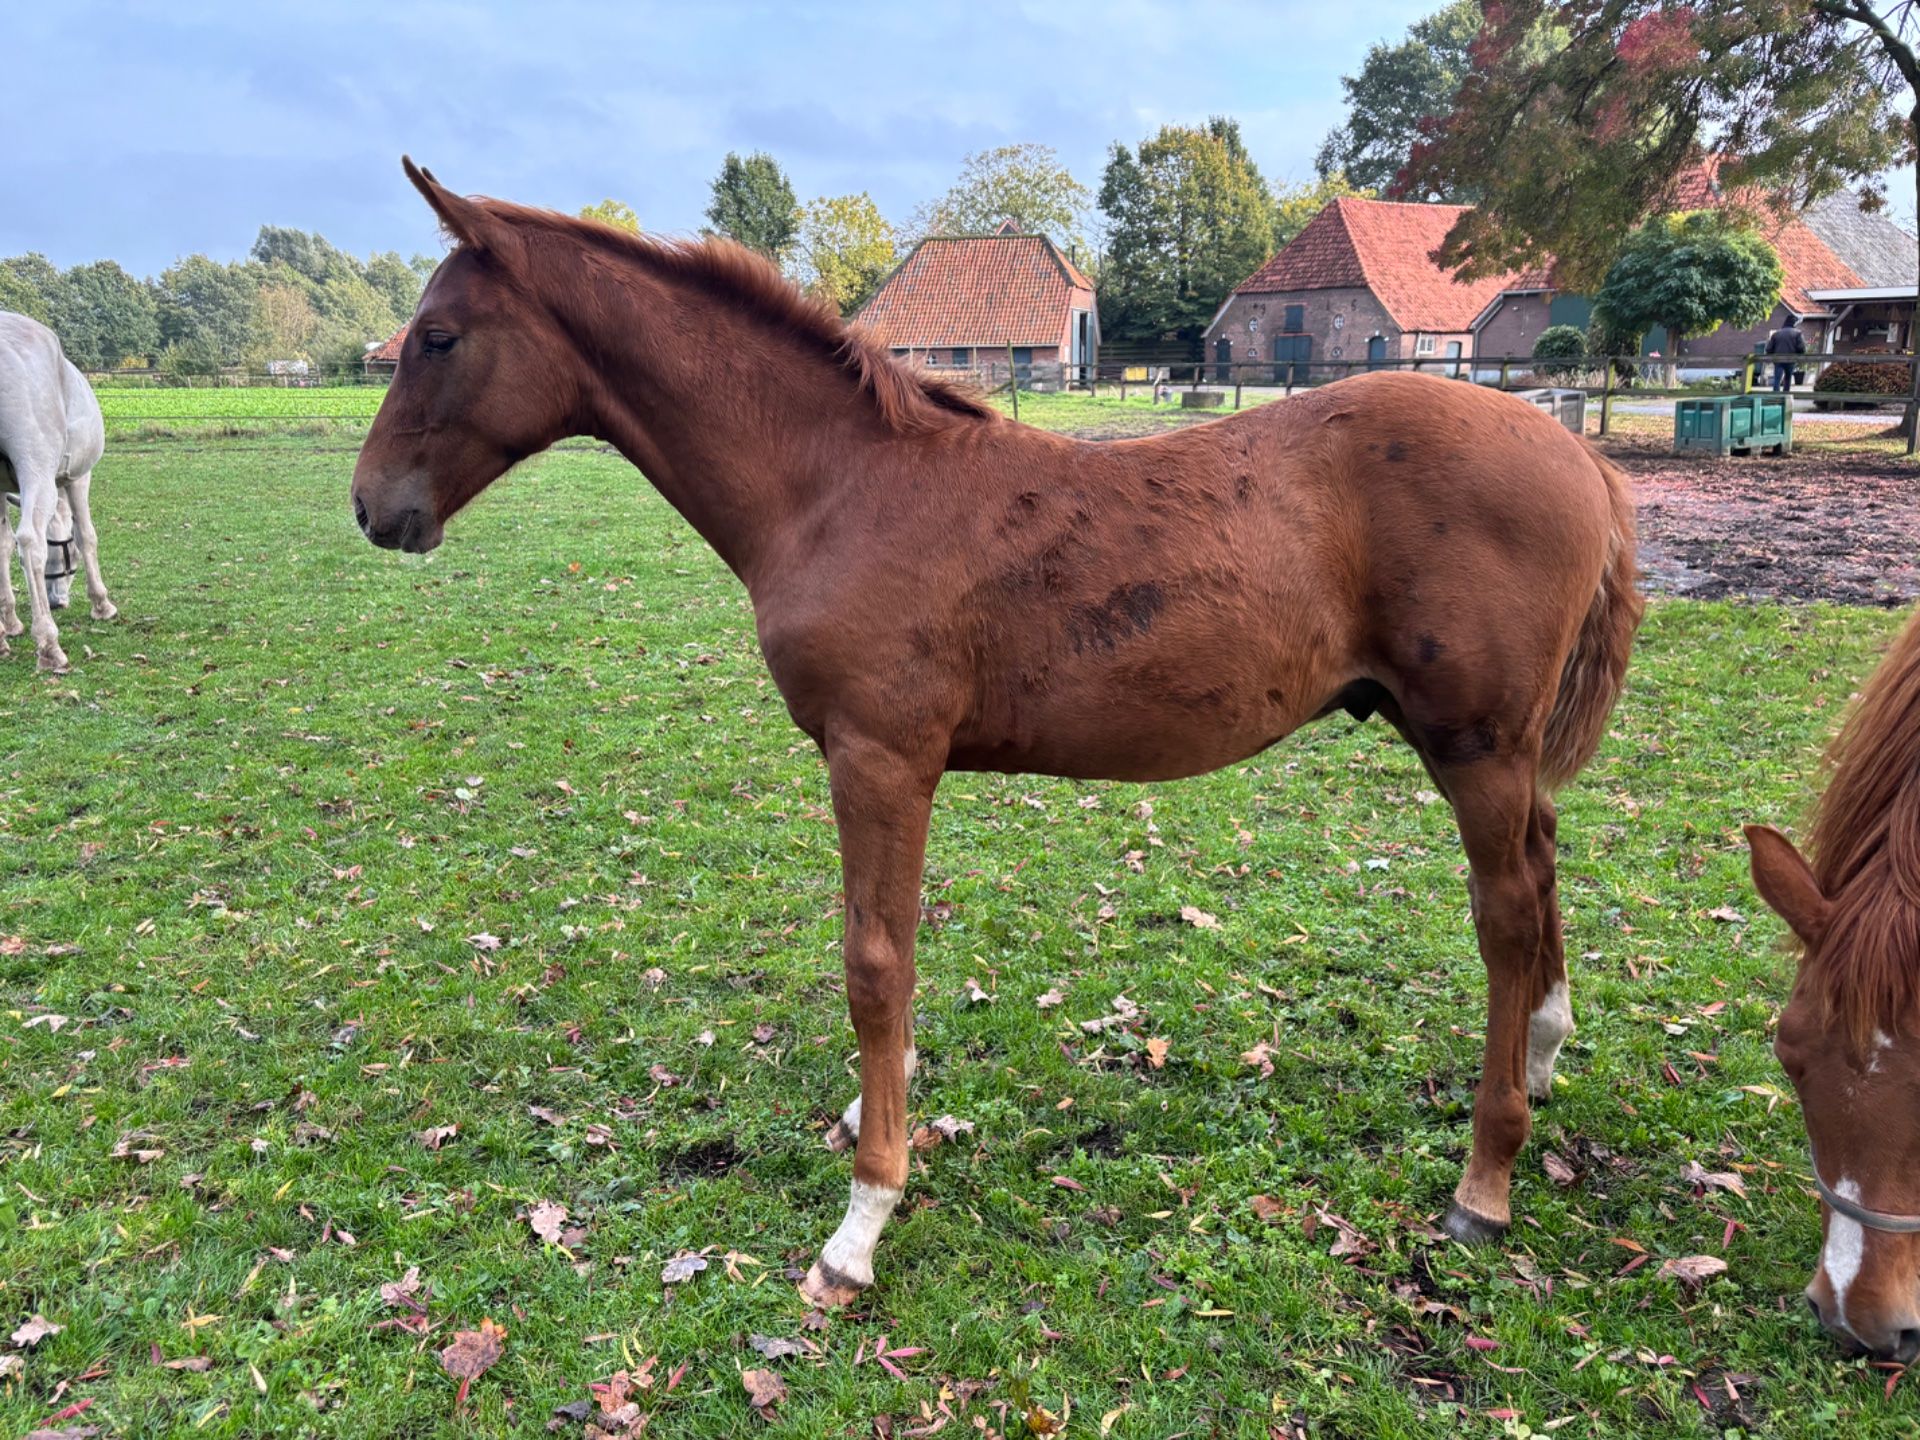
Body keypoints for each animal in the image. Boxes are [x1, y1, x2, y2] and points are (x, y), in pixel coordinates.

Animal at [0, 309, 116, 671]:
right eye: (66, 556)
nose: (55, 602)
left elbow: (2, 545)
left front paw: (10, 624)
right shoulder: (78, 478)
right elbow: (86, 535)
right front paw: (102, 604)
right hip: (35, 467)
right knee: (30, 540)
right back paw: (49, 645)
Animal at [351, 160, 1643, 1309]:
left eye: (440, 337)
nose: (372, 507)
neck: (840, 488)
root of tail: (1581, 453)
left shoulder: (879, 757)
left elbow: (875, 962)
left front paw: (863, 1219)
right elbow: (894, 954)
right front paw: (875, 1118)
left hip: (1474, 743)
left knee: (1505, 916)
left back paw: (1484, 1182)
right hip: (1499, 751)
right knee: (1544, 866)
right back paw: (1545, 1055)